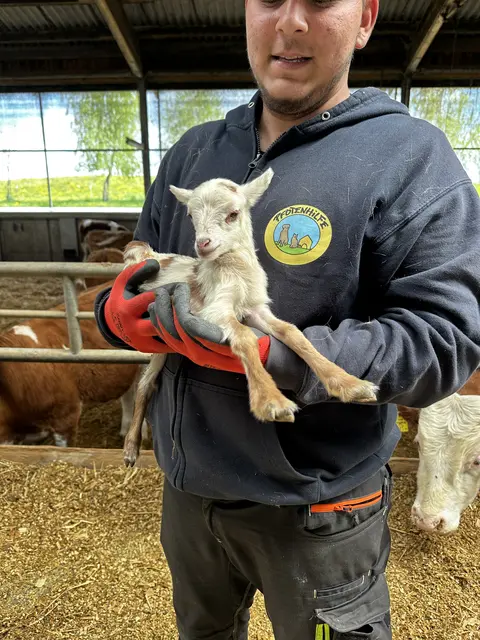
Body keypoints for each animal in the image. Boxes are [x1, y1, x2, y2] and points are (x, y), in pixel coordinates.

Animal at [121, 168, 378, 467]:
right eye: (191, 216)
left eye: (233, 213)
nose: (203, 244)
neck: (237, 275)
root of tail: (149, 254)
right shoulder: (214, 309)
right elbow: (244, 337)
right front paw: (270, 402)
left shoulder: (257, 308)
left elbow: (292, 332)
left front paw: (351, 384)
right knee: (144, 384)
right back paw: (130, 449)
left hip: (164, 336)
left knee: (148, 381)